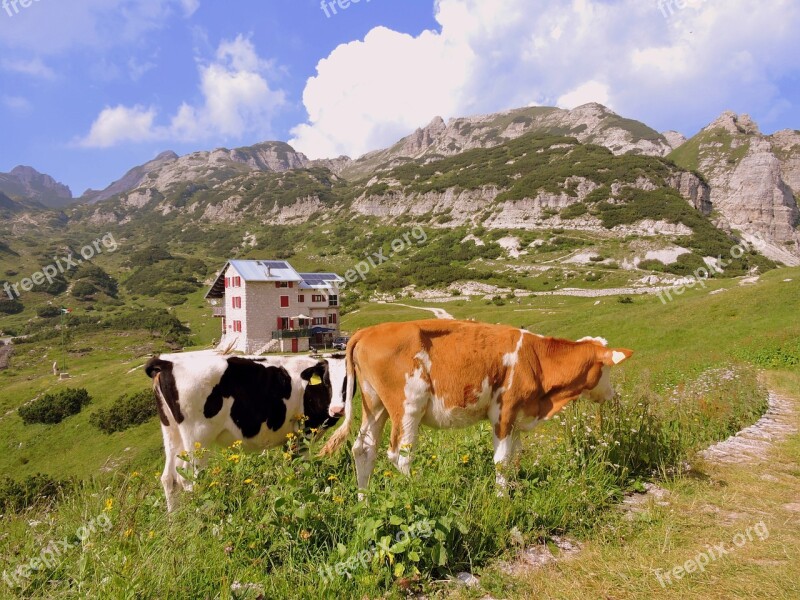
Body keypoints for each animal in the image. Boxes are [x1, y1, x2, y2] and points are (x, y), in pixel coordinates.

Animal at [145, 352, 346, 510]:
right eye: (327, 381)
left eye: (348, 381)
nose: (338, 409)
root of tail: (167, 361)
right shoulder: (306, 432)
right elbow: (302, 467)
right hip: (197, 438)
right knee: (189, 478)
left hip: (171, 431)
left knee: (169, 477)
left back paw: (174, 520)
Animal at [322, 322, 636, 494]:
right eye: (608, 369)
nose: (613, 395)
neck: (536, 359)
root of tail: (368, 331)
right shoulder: (504, 411)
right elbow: (501, 460)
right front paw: (501, 498)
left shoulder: (518, 415)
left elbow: (515, 456)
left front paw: (514, 488)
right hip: (407, 406)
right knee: (400, 455)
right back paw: (420, 490)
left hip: (375, 405)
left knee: (364, 449)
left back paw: (364, 499)